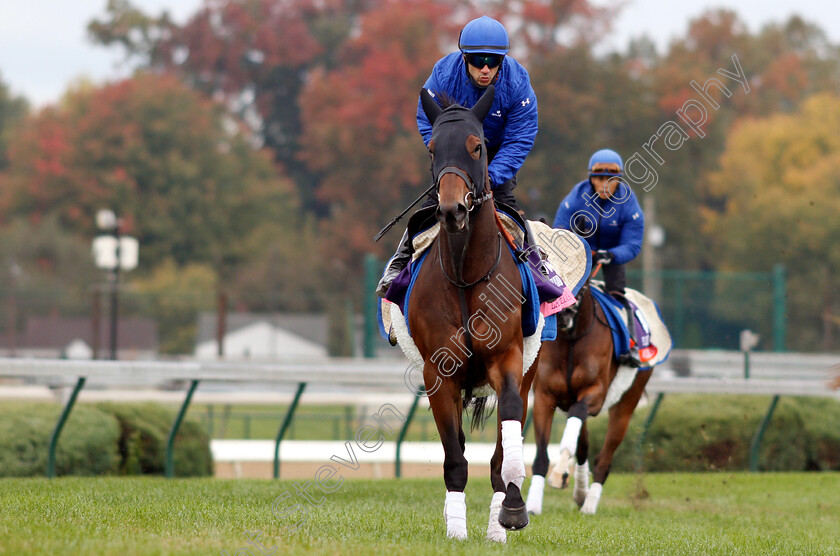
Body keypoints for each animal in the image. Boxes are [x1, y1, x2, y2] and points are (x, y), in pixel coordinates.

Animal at [408, 87, 536, 544]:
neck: (465, 273)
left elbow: (507, 434)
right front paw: (456, 531)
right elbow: (454, 457)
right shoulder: (438, 372)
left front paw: (512, 509)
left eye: (477, 146)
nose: (452, 210)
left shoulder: (508, 357)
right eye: (432, 148)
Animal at [528, 272, 652, 516]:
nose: (564, 310)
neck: (570, 340)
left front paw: (559, 474)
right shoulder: (544, 396)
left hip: (627, 402)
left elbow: (574, 433)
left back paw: (589, 504)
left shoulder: (594, 394)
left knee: (604, 458)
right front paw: (532, 505)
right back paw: (580, 492)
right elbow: (542, 454)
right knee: (583, 445)